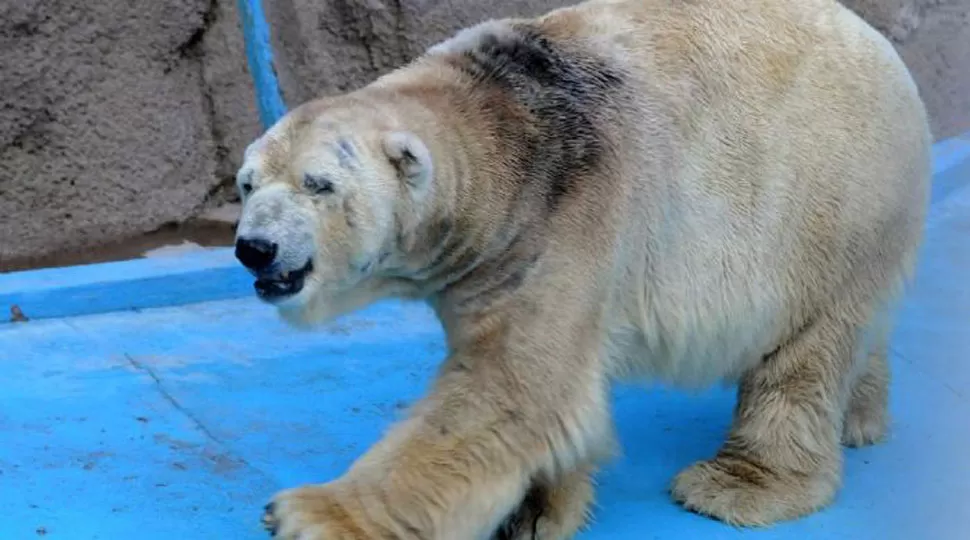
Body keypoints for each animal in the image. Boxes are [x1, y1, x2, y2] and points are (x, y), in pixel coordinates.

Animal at [231, 0, 932, 537]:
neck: (507, 127)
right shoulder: (493, 256)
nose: (254, 248)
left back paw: (738, 485)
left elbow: (510, 390)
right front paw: (539, 514)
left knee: (804, 351)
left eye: (318, 184)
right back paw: (862, 419)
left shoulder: (567, 218)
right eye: (246, 184)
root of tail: (886, 52)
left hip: (832, 206)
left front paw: (310, 513)